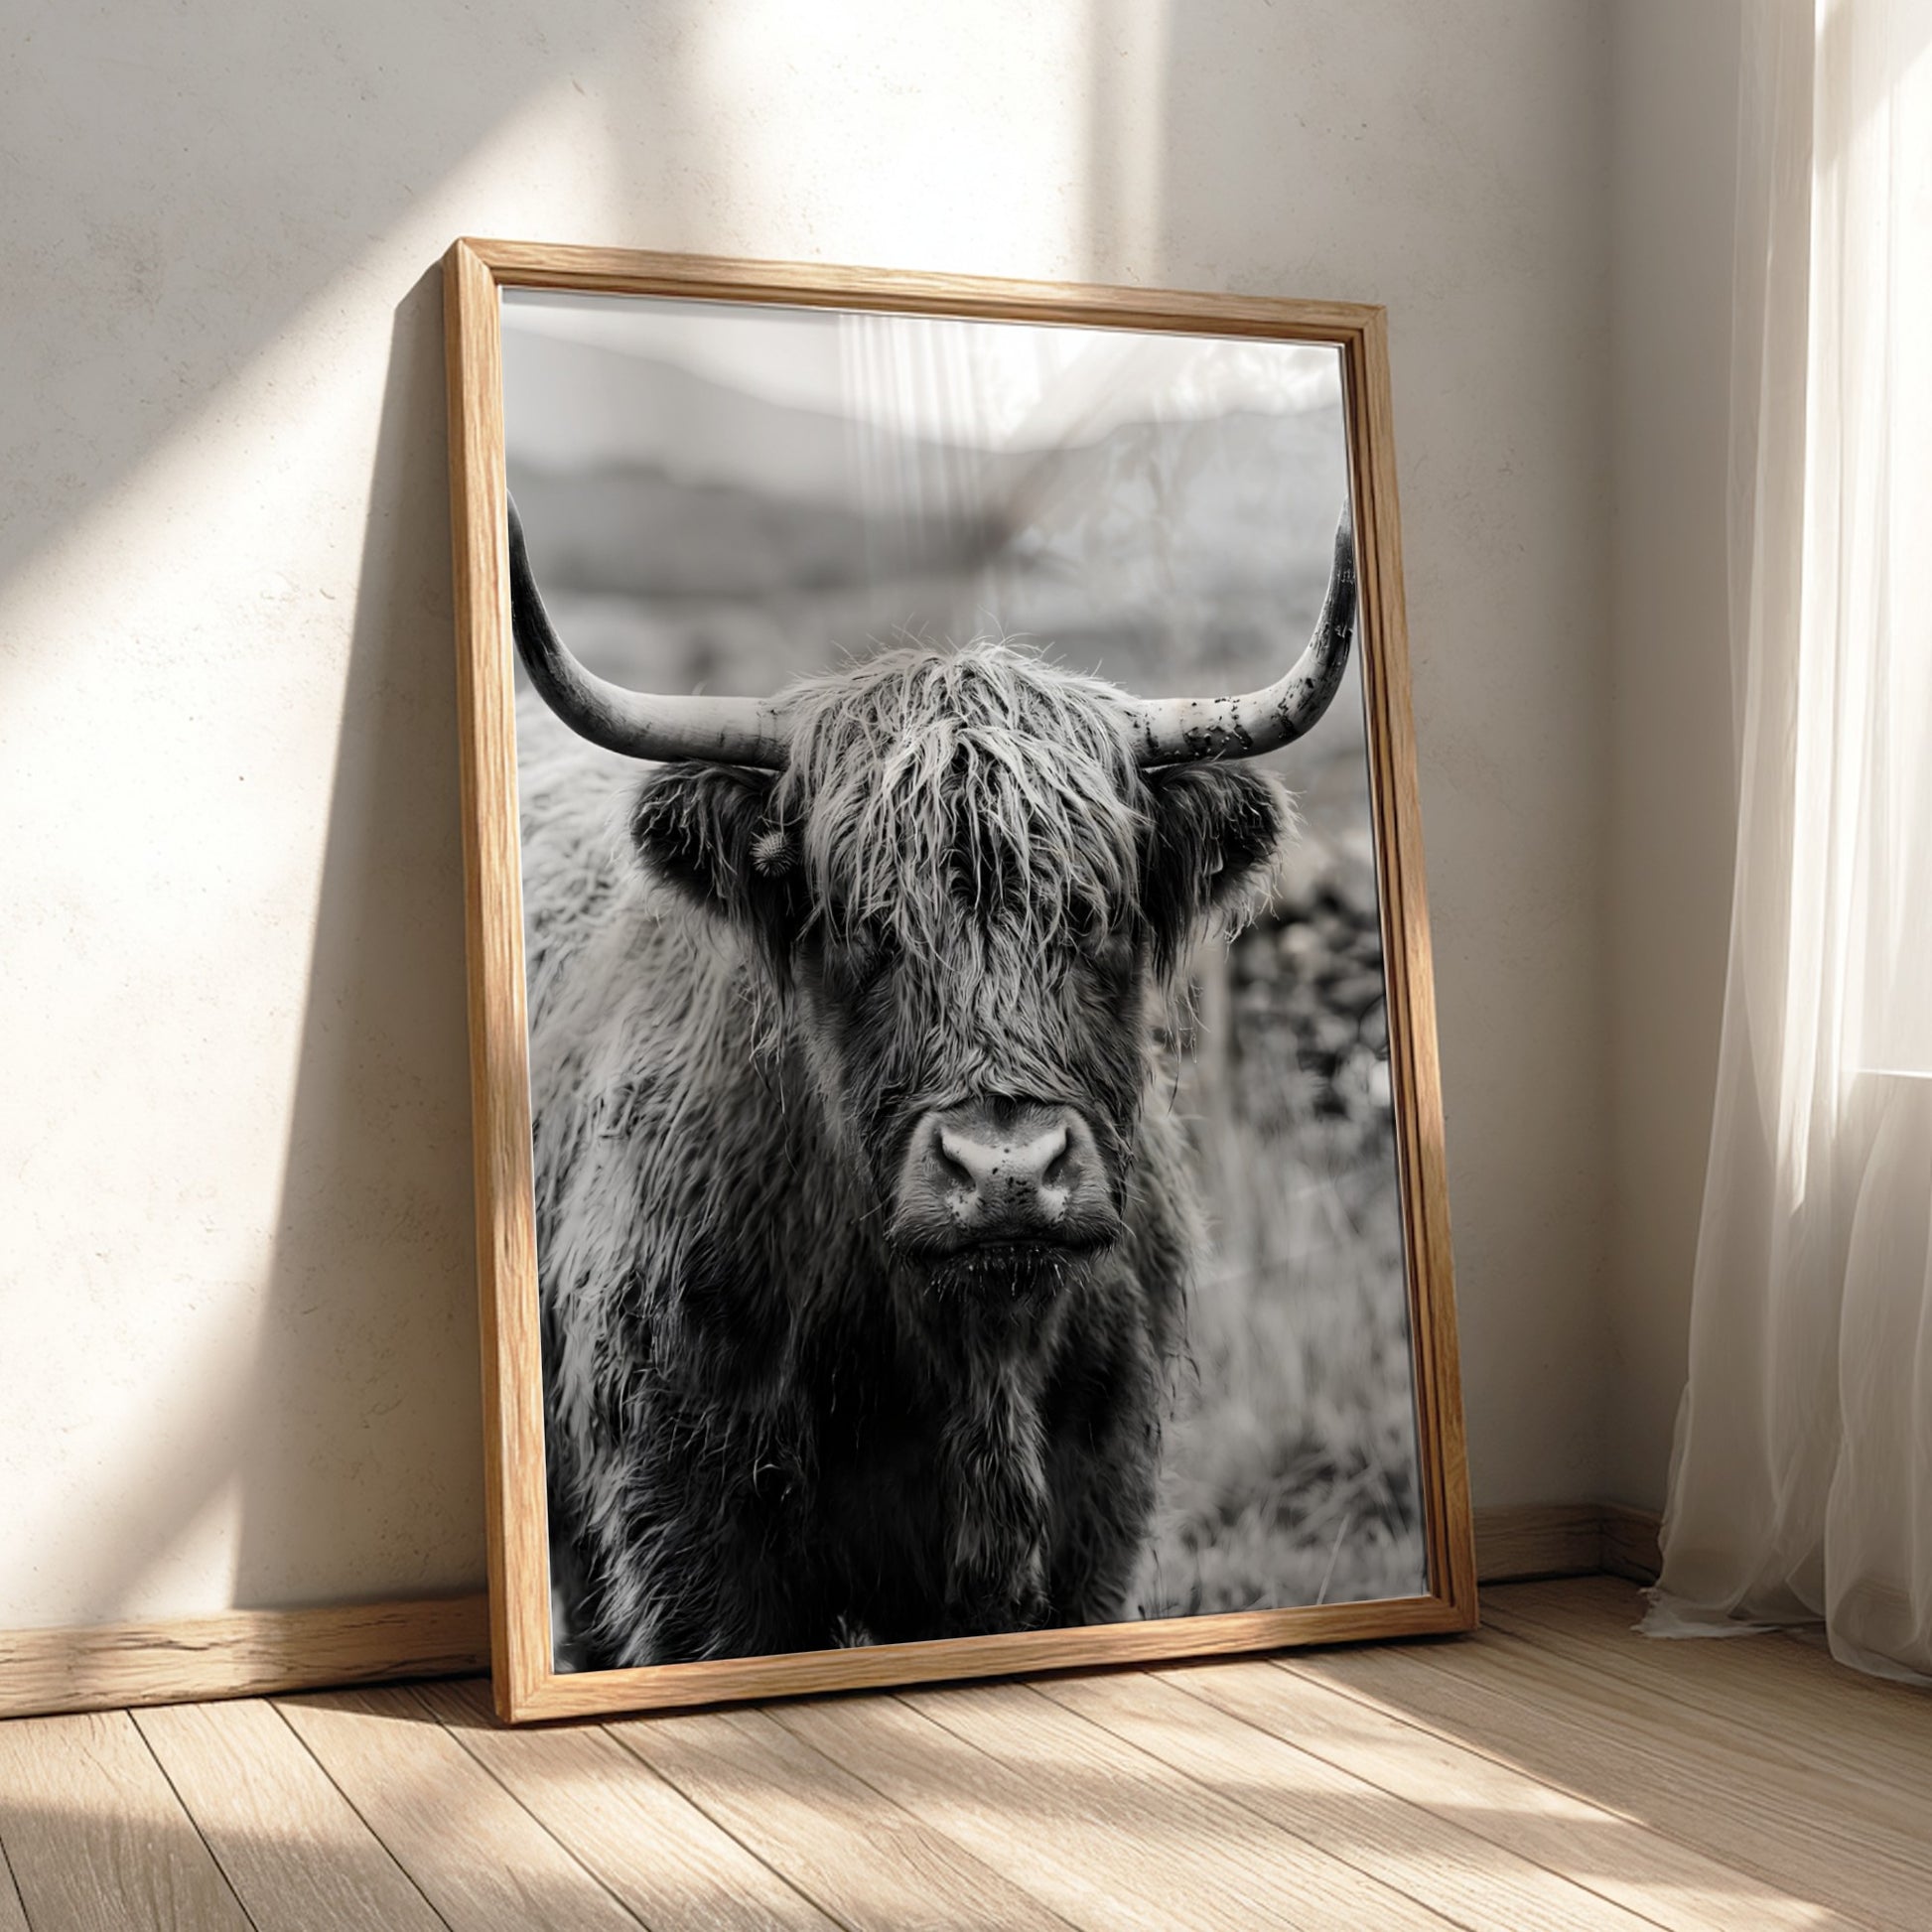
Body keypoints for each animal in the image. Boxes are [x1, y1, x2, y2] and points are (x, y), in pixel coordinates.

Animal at [509, 496, 1358, 1668]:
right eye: (865, 927)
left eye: (1091, 914)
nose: (1005, 1171)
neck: (968, 1350)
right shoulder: (686, 1533)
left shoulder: (1095, 1517)